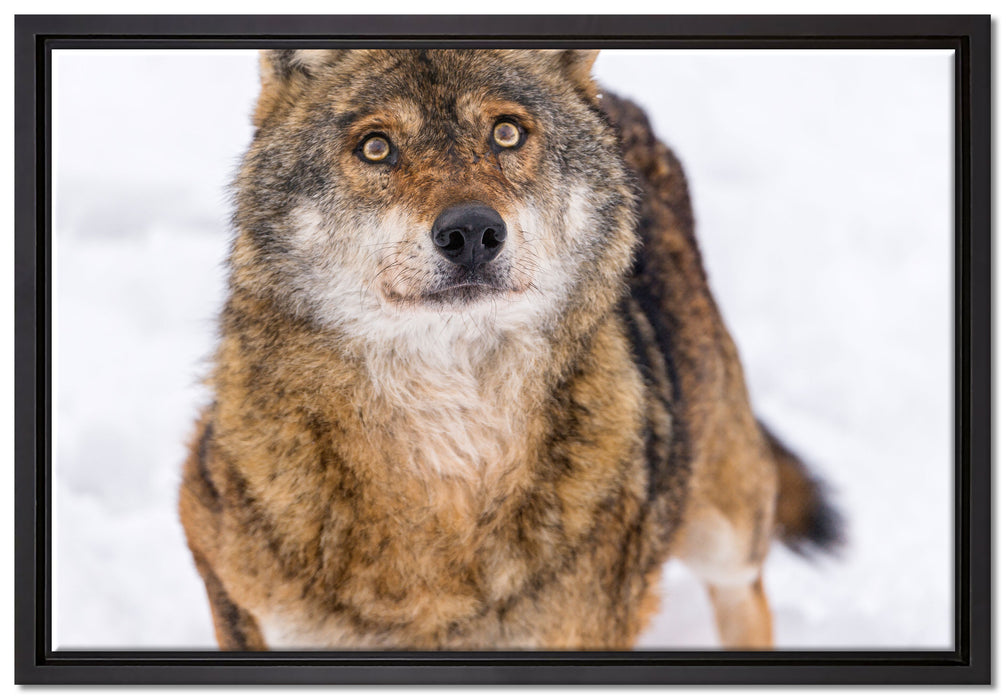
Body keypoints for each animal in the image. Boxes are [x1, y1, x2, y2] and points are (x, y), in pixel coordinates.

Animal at [179, 48, 842, 650]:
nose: (471, 231)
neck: (448, 447)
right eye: (376, 147)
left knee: (745, 596)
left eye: (506, 132)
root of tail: (615, 102)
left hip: (725, 527)